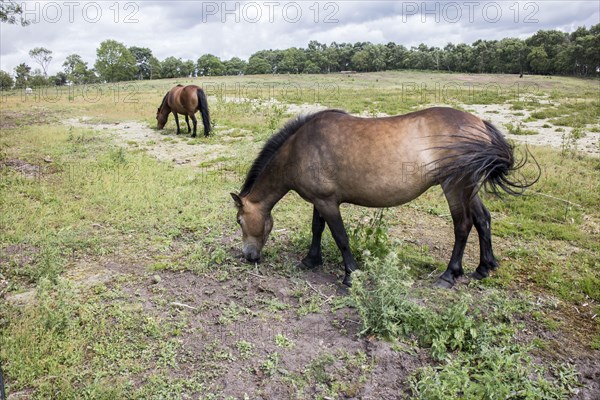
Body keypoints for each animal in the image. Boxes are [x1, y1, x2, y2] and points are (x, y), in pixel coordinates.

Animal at [230, 106, 536, 288]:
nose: (248, 256)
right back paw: (485, 267)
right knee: (483, 219)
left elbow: (340, 237)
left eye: (239, 221)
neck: (299, 149)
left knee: (463, 226)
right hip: (468, 188)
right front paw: (311, 260)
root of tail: (480, 124)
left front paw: (351, 275)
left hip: (455, 186)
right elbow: (317, 229)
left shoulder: (328, 203)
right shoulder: (321, 200)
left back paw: (450, 274)